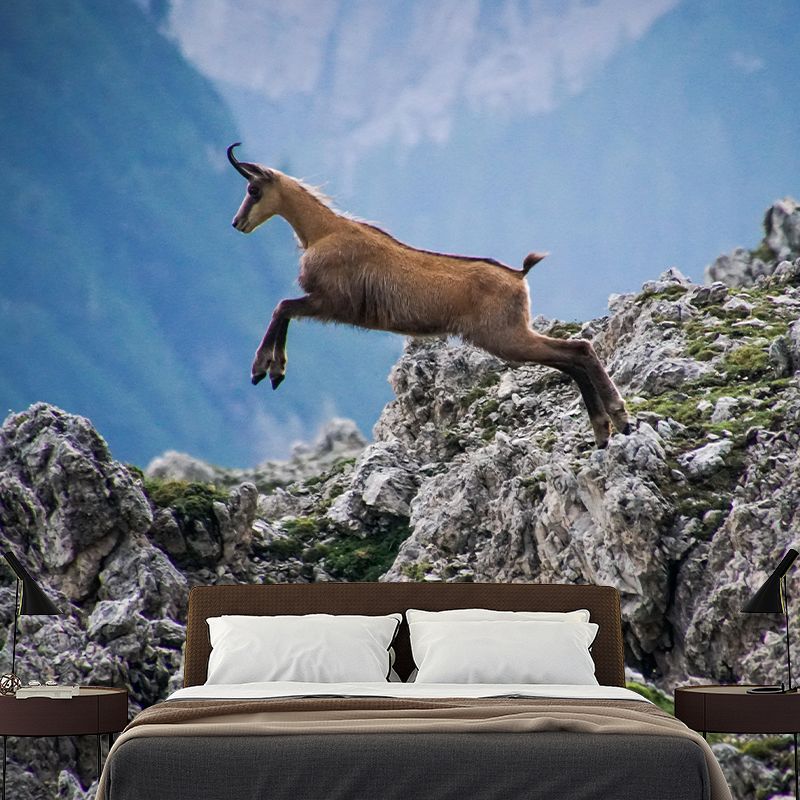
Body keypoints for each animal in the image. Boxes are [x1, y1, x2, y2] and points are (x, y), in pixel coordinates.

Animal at [227, 143, 630, 447]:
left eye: (253, 190)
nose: (237, 223)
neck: (322, 232)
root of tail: (518, 276)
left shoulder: (330, 302)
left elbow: (282, 308)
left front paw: (266, 369)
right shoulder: (325, 303)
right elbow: (284, 311)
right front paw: (273, 371)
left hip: (505, 335)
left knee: (578, 351)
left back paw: (618, 416)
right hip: (511, 335)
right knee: (571, 359)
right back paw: (605, 429)